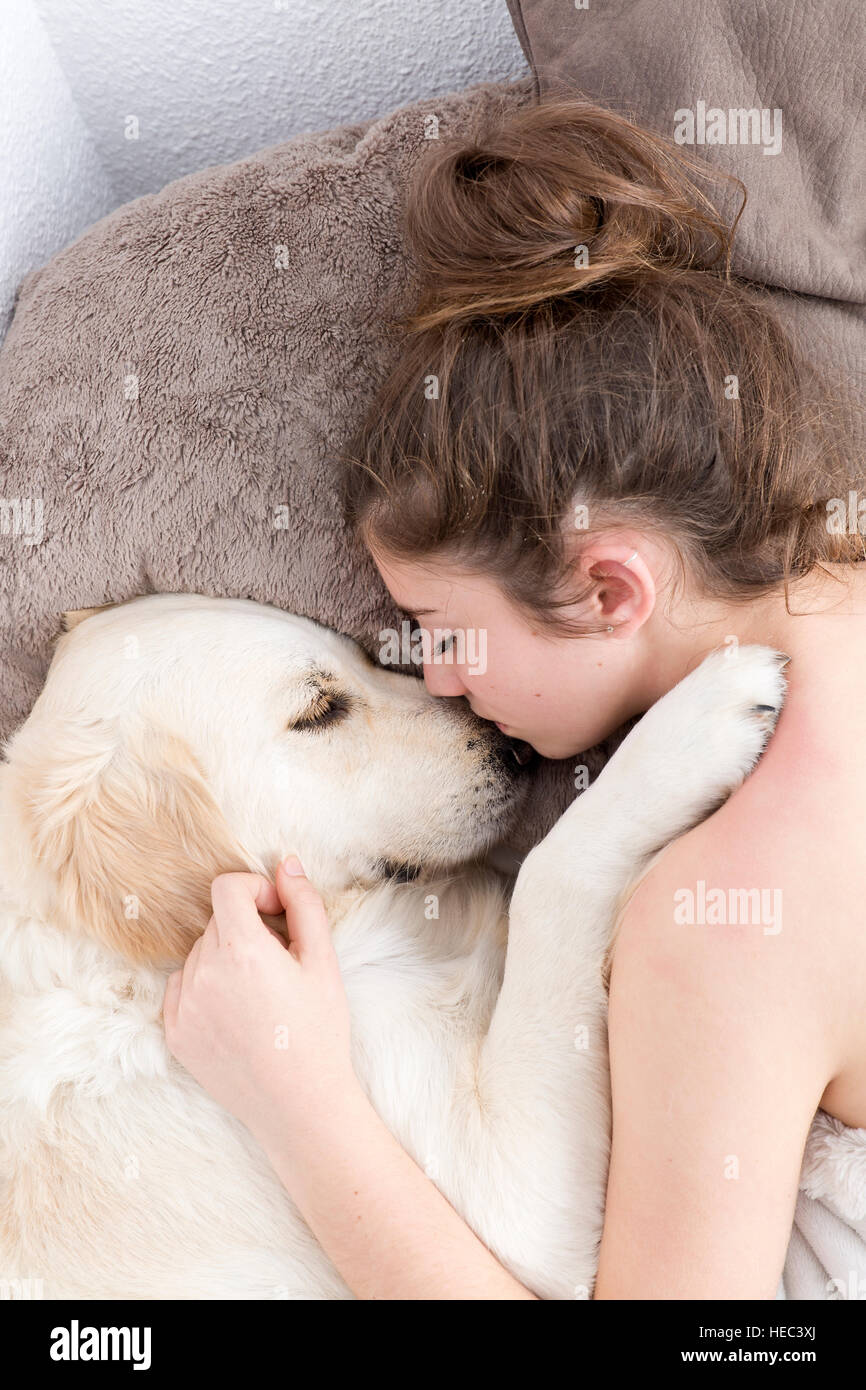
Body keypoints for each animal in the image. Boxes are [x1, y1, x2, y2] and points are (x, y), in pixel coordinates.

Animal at [0, 592, 783, 1295]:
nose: (516, 750)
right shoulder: (511, 1201)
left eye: (364, 657)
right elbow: (549, 868)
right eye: (319, 712)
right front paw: (695, 724)